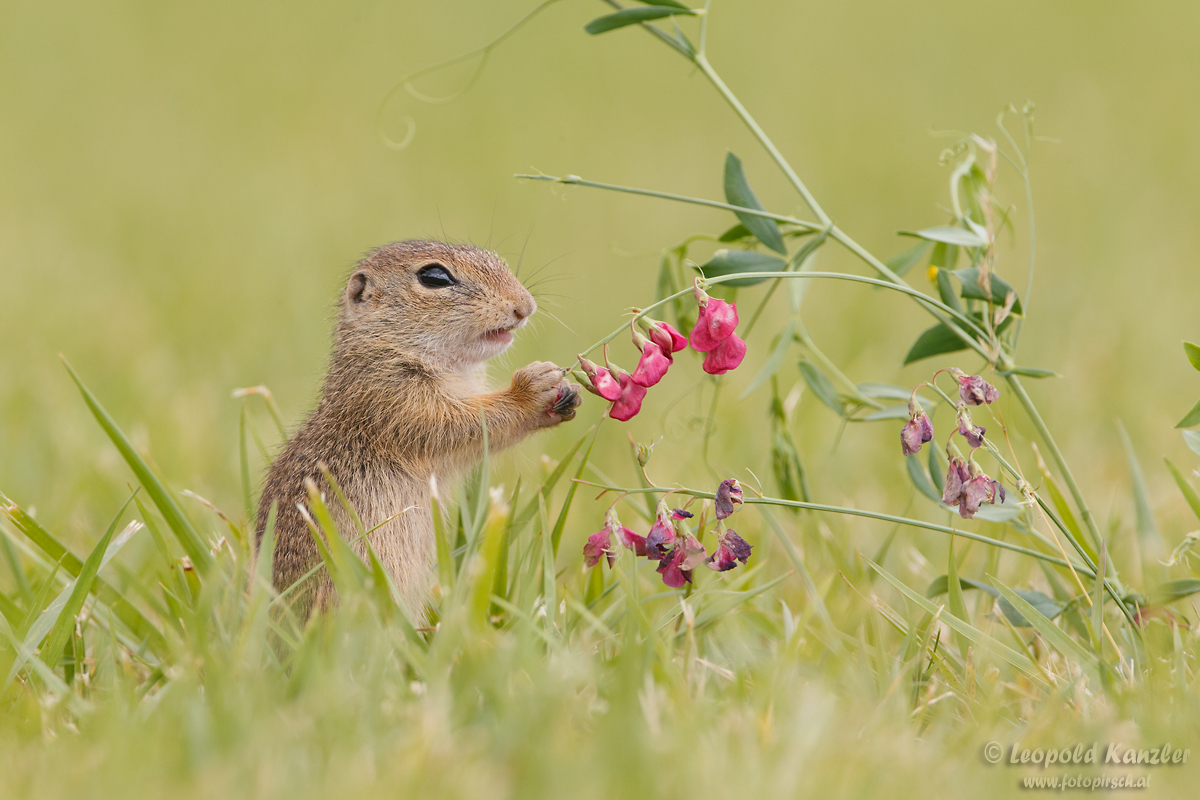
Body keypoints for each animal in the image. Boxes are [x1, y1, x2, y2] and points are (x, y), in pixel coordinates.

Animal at [256, 241, 580, 623]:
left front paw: (567, 394)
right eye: (434, 277)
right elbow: (455, 425)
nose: (524, 305)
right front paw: (532, 388)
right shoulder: (393, 399)